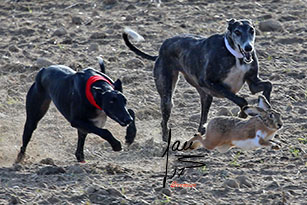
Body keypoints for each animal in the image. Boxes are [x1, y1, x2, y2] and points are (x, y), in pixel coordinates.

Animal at [124, 18, 274, 141]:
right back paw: (166, 139)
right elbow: (241, 100)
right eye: (237, 32)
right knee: (165, 115)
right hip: (167, 94)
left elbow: (268, 85)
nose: (248, 48)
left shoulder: (252, 82)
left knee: (203, 118)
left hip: (205, 96)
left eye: (252, 30)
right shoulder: (210, 83)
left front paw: (266, 107)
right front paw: (243, 114)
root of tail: (160, 51)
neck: (234, 55)